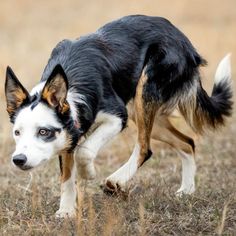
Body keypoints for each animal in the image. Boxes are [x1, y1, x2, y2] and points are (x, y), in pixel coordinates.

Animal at [4, 15, 233, 218]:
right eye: (17, 133)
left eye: (44, 132)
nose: (18, 159)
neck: (71, 87)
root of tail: (185, 42)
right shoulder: (69, 135)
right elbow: (66, 178)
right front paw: (67, 211)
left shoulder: (116, 116)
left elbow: (84, 151)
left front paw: (88, 173)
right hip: (142, 112)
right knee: (187, 142)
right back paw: (187, 190)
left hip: (144, 93)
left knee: (145, 148)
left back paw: (117, 181)